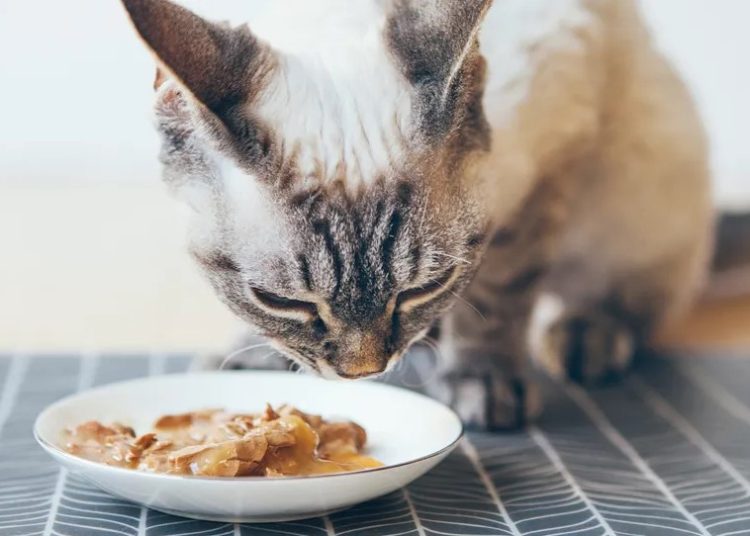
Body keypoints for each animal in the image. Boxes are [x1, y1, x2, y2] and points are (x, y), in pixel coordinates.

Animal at [120, 0, 712, 430]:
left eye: (423, 288)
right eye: (282, 301)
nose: (362, 373)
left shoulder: (548, 166)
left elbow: (497, 299)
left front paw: (482, 383)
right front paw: (251, 357)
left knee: (631, 300)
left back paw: (586, 336)